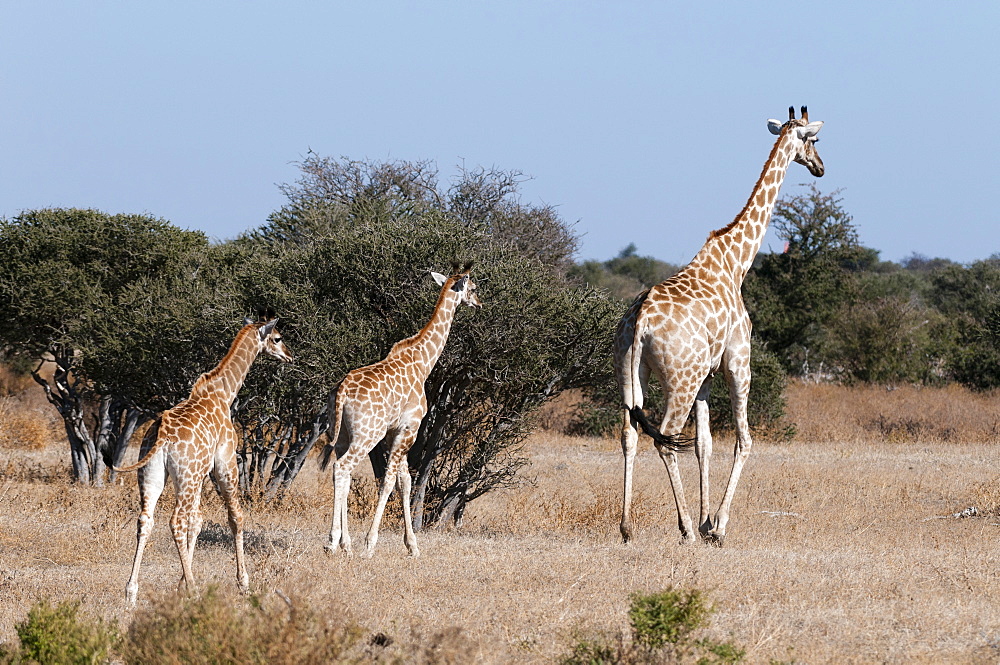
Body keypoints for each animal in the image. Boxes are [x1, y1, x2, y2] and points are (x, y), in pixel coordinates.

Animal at [116, 320, 292, 604]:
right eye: (277, 338)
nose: (289, 355)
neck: (224, 393)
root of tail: (162, 434)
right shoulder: (225, 463)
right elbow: (235, 516)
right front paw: (243, 582)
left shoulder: (201, 473)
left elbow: (197, 521)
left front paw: (181, 583)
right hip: (186, 477)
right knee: (175, 521)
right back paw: (196, 590)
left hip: (154, 475)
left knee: (146, 520)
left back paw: (131, 592)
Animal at [318, 262, 478, 556]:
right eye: (472, 288)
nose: (479, 302)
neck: (424, 361)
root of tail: (341, 391)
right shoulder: (409, 428)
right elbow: (390, 481)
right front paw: (370, 544)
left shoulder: (397, 431)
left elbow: (405, 482)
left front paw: (412, 545)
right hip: (367, 434)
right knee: (342, 468)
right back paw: (333, 542)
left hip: (344, 434)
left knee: (342, 474)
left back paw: (345, 543)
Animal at [612, 106, 824, 544]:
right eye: (813, 141)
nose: (820, 168)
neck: (736, 261)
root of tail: (639, 321)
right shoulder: (738, 360)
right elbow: (743, 439)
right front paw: (717, 526)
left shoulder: (707, 375)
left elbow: (705, 444)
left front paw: (707, 517)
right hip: (680, 379)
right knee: (666, 438)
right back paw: (685, 530)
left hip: (629, 369)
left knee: (630, 433)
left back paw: (626, 527)